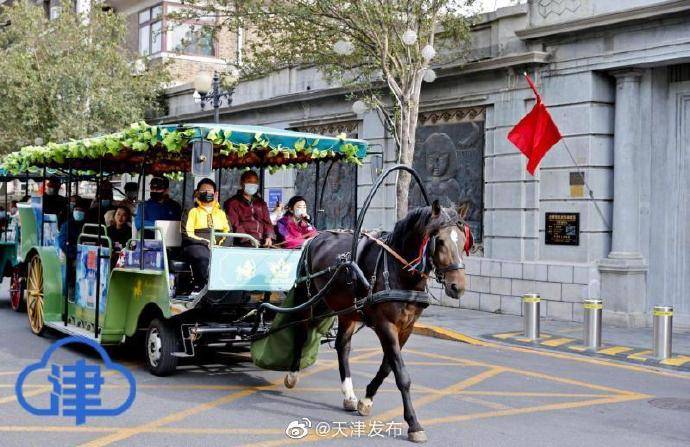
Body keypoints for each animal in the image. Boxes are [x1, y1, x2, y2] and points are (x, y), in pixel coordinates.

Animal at [282, 202, 470, 444]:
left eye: (462, 240)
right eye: (440, 241)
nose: (458, 287)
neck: (399, 271)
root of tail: (315, 237)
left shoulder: (406, 327)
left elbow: (388, 366)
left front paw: (366, 400)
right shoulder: (385, 324)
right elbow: (402, 375)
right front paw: (414, 424)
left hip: (347, 309)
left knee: (343, 346)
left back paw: (349, 395)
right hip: (311, 298)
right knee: (302, 330)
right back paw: (293, 374)